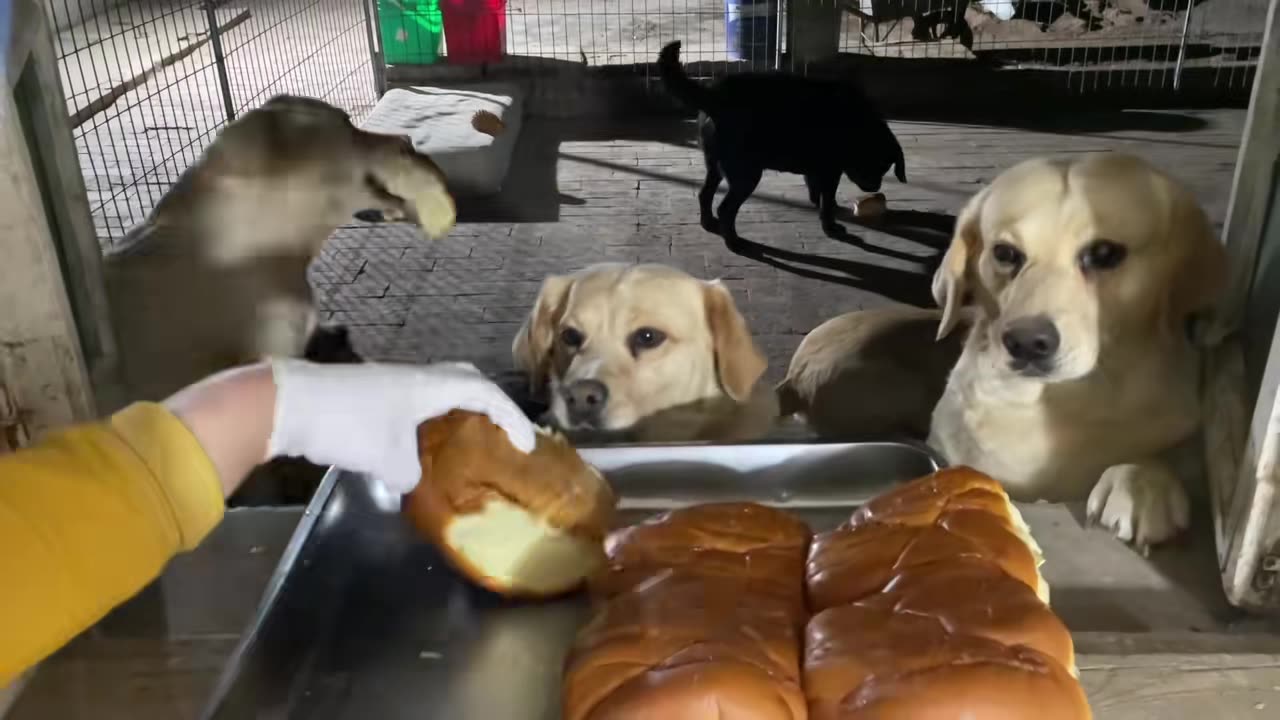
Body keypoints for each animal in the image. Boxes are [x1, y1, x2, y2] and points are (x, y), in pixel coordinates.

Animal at [665, 40, 906, 244]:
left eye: (885, 168)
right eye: (873, 164)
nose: (874, 187)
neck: (857, 125)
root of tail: (715, 96)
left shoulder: (817, 170)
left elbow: (816, 192)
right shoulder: (830, 171)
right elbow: (827, 202)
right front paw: (830, 226)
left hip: (715, 165)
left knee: (705, 194)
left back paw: (709, 223)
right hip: (746, 174)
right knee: (726, 209)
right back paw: (734, 241)